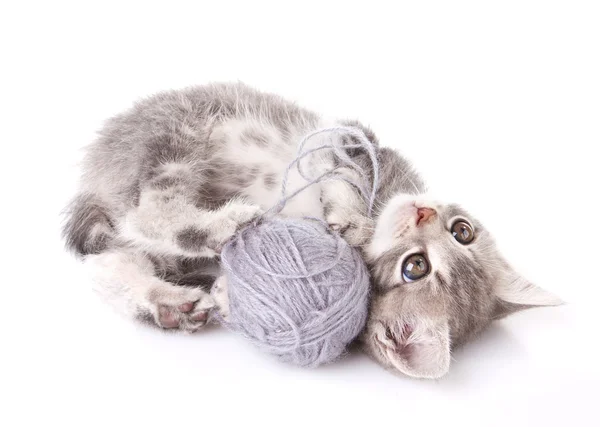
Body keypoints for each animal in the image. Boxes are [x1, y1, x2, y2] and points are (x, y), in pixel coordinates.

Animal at [65, 82, 564, 380]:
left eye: (415, 268)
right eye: (463, 231)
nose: (423, 211)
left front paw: (226, 294)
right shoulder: (349, 137)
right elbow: (341, 167)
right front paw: (351, 214)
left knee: (117, 255)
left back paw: (171, 299)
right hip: (177, 138)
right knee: (140, 217)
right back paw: (221, 228)